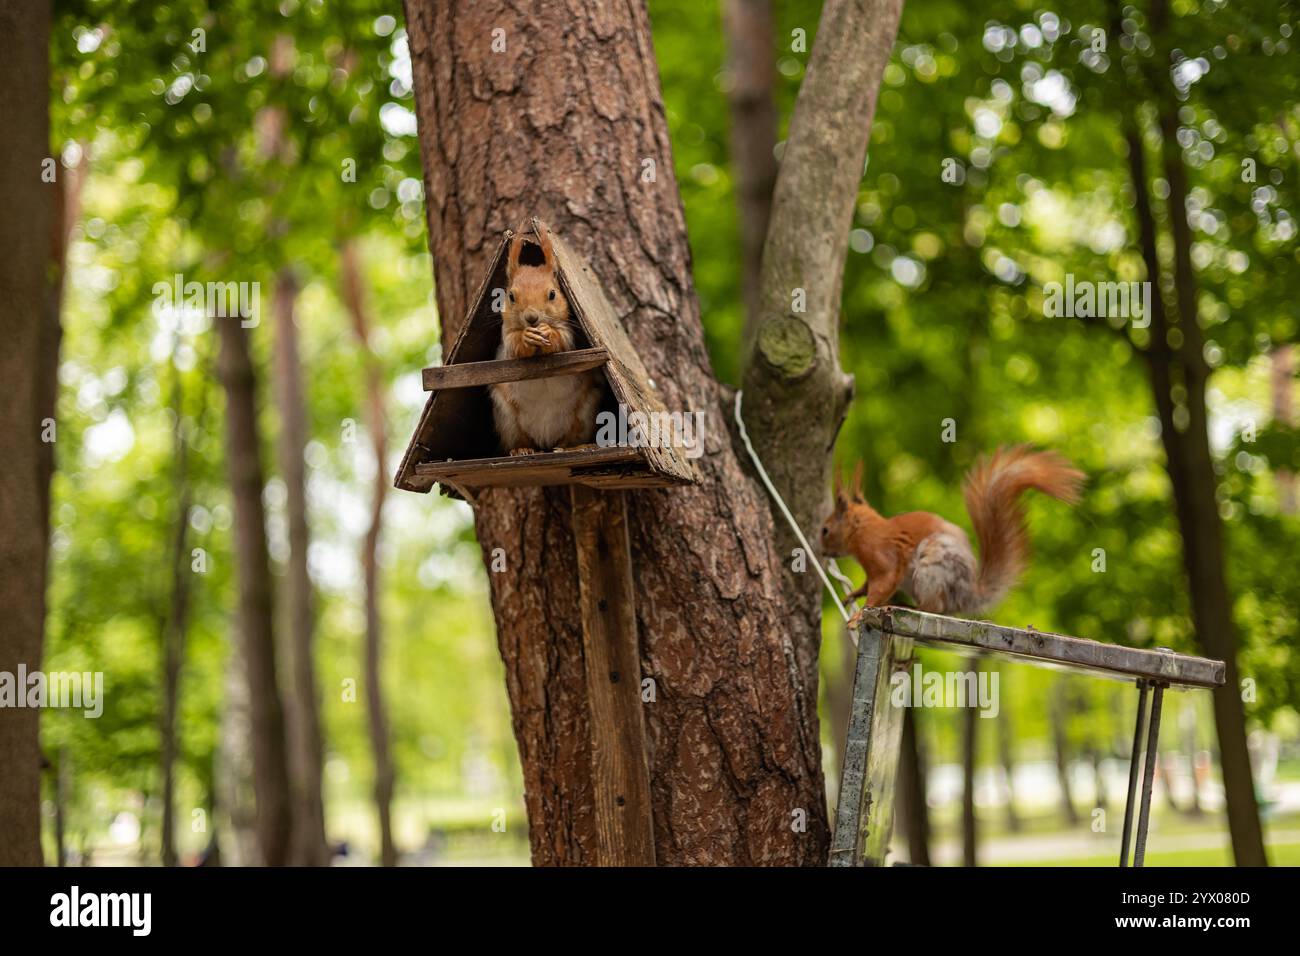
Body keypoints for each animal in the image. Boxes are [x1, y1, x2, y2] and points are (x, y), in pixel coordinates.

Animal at [489, 227, 603, 456]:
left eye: (553, 294)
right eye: (511, 296)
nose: (532, 318)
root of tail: (546, 439)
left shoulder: (569, 333)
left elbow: (564, 341)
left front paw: (547, 332)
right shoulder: (506, 337)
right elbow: (514, 346)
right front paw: (527, 336)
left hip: (585, 411)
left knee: (568, 441)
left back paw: (578, 446)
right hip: (507, 418)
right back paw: (522, 450)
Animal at [820, 446, 1084, 618]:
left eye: (825, 530)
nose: (821, 551)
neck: (863, 531)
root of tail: (967, 595)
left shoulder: (884, 559)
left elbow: (880, 586)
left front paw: (859, 615)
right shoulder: (871, 570)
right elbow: (866, 585)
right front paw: (852, 596)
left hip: (931, 571)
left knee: (935, 608)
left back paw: (910, 607)